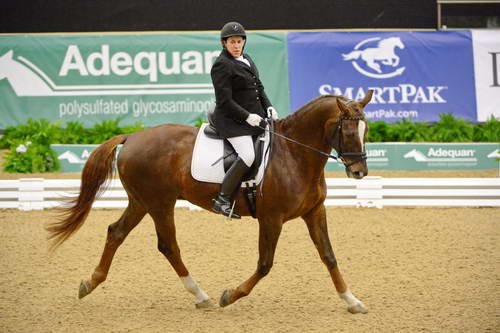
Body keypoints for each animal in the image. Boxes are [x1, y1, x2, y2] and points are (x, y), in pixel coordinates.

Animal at [47, 91, 374, 314]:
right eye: (347, 131)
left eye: (366, 130)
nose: (359, 172)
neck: (295, 155)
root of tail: (132, 137)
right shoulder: (272, 218)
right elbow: (265, 264)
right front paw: (230, 295)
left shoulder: (314, 212)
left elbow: (329, 256)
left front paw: (352, 301)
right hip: (159, 203)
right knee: (168, 245)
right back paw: (201, 295)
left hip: (141, 202)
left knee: (116, 232)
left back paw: (90, 283)